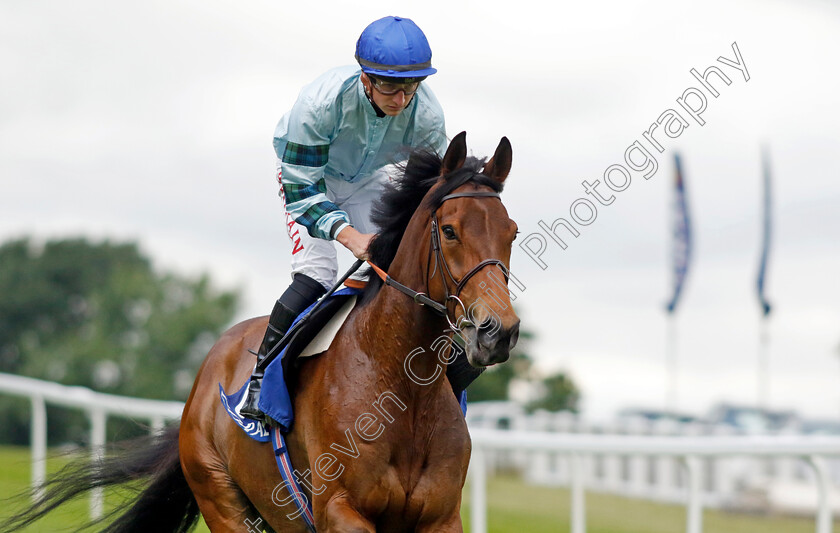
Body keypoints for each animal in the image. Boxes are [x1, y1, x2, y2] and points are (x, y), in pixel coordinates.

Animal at [4, 130, 520, 532]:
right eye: (450, 231)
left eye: (511, 232)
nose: (499, 331)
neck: (400, 388)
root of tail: (203, 378)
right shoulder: (340, 511)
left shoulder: (440, 517)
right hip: (222, 496)